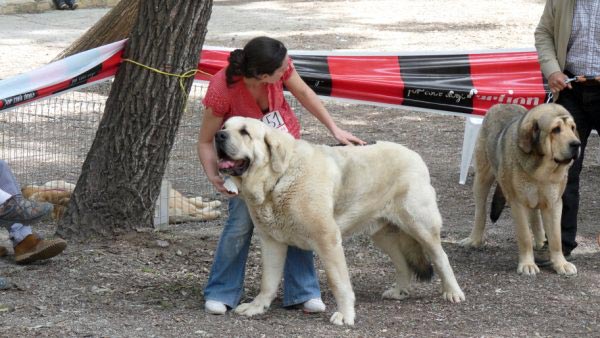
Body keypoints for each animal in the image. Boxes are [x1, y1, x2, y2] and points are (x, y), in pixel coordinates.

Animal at [214, 116, 464, 324]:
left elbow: (339, 282)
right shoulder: (271, 242)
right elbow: (268, 280)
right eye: (225, 126)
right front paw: (257, 306)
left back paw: (453, 292)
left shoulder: (328, 241)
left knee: (441, 257)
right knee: (402, 262)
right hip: (383, 235)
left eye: (245, 132)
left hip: (421, 226)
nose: (218, 135)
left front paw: (345, 314)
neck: (279, 179)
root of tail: (414, 154)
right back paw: (399, 291)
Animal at [462, 103, 580, 278]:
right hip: (482, 179)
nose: (576, 144)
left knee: (535, 216)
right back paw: (474, 239)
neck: (541, 171)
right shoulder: (518, 203)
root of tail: (501, 104)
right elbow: (524, 236)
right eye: (555, 130)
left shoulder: (553, 203)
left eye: (572, 128)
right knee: (480, 212)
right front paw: (527, 265)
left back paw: (540, 241)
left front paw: (561, 264)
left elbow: (556, 238)